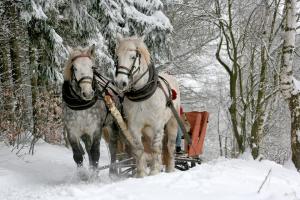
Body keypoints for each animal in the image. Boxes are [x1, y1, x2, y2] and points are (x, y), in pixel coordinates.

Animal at [114, 35, 180, 177]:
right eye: (117, 57)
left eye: (133, 57)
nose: (120, 82)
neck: (142, 96)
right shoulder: (134, 127)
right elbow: (139, 149)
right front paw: (141, 174)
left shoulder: (157, 125)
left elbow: (156, 148)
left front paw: (154, 171)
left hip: (172, 122)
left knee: (169, 147)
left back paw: (170, 169)